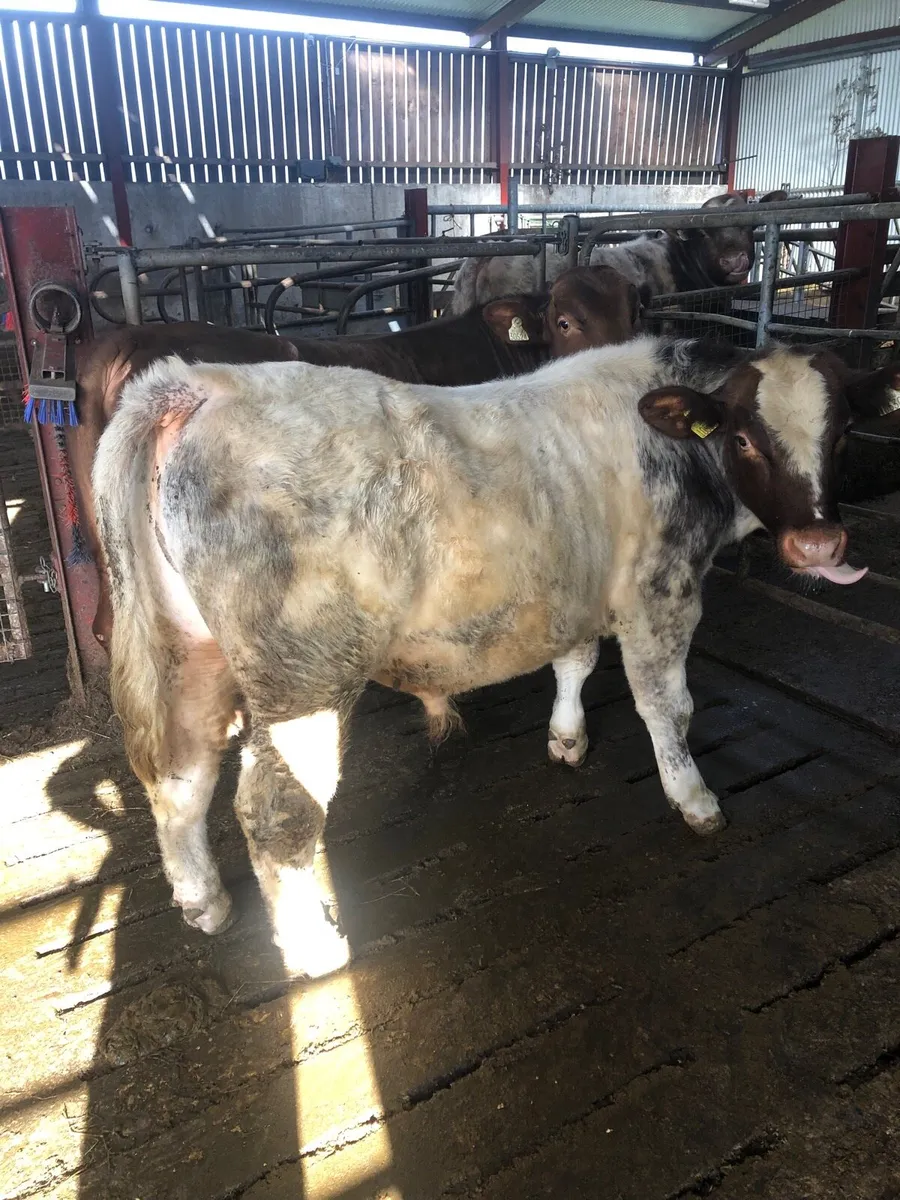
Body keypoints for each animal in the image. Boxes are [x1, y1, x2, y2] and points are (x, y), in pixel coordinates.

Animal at [92, 334, 895, 978]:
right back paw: (314, 951)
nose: (819, 544)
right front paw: (694, 799)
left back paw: (202, 899)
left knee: (179, 777)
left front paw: (567, 738)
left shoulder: (572, 586)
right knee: (276, 810)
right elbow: (668, 705)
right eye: (747, 440)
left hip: (185, 649)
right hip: (304, 677)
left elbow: (574, 663)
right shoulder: (662, 592)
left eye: (844, 433)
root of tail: (199, 383)